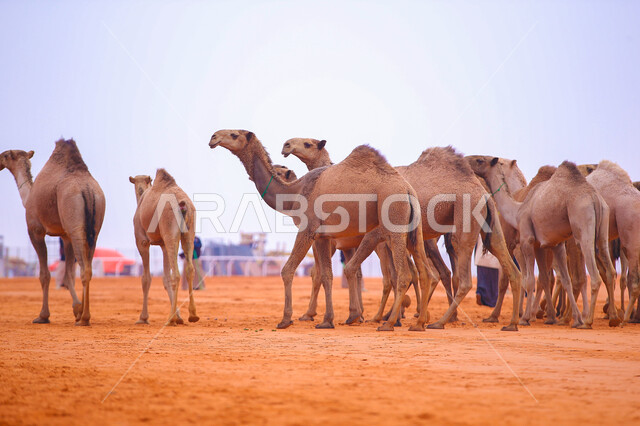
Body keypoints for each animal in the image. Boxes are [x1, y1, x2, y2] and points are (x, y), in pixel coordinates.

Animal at [0, 140, 105, 325]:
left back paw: (84, 319)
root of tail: (87, 189)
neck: (28, 196)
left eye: (5, 155)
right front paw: (76, 309)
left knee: (84, 269)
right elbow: (68, 274)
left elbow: (45, 275)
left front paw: (43, 316)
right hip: (94, 226)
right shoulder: (65, 236)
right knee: (88, 267)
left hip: (75, 223)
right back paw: (84, 316)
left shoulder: (36, 231)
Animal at [129, 170, 199, 326]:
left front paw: (143, 318)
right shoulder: (162, 244)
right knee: (189, 269)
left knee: (176, 274)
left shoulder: (142, 241)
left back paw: (169, 319)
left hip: (170, 229)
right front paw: (179, 317)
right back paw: (192, 315)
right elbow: (165, 278)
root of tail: (183, 205)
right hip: (188, 233)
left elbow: (146, 278)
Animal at [209, 130, 438, 331]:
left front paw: (287, 319)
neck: (295, 193)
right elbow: (326, 275)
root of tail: (407, 189)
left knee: (403, 274)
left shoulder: (308, 230)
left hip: (392, 226)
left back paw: (389, 323)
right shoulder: (323, 237)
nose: (213, 137)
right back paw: (417, 323)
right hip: (412, 232)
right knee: (424, 272)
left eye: (234, 134)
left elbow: (289, 270)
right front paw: (328, 320)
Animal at [468, 157, 619, 328]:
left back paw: (586, 321)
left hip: (583, 232)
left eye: (480, 160)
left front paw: (523, 318)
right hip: (601, 233)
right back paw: (609, 317)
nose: (466, 160)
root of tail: (594, 198)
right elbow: (552, 279)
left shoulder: (525, 242)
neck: (517, 209)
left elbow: (526, 280)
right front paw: (554, 317)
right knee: (606, 271)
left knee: (591, 276)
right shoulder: (549, 245)